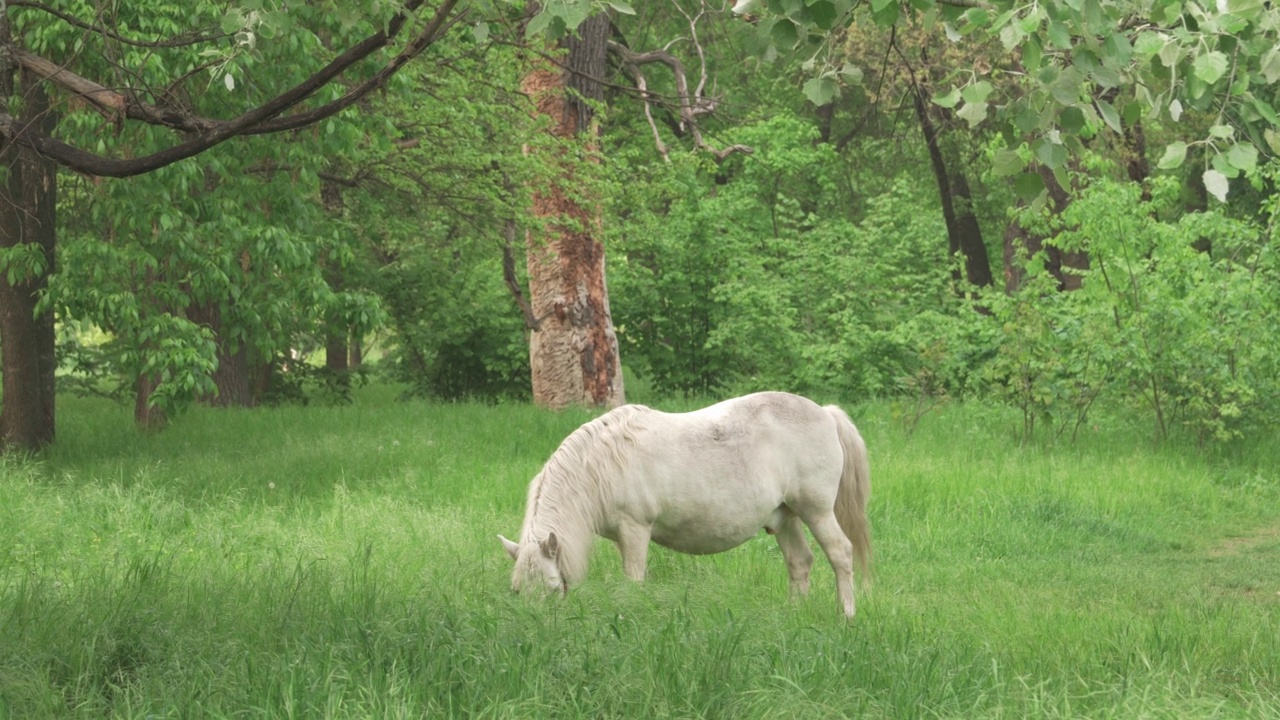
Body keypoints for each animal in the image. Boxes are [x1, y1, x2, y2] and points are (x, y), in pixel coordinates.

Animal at [496, 389, 870, 614]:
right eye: (516, 591)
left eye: (549, 588)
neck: (599, 465)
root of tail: (825, 413)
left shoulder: (635, 530)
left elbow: (634, 579)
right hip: (786, 517)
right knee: (800, 562)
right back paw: (795, 613)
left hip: (817, 512)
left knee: (841, 554)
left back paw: (846, 615)